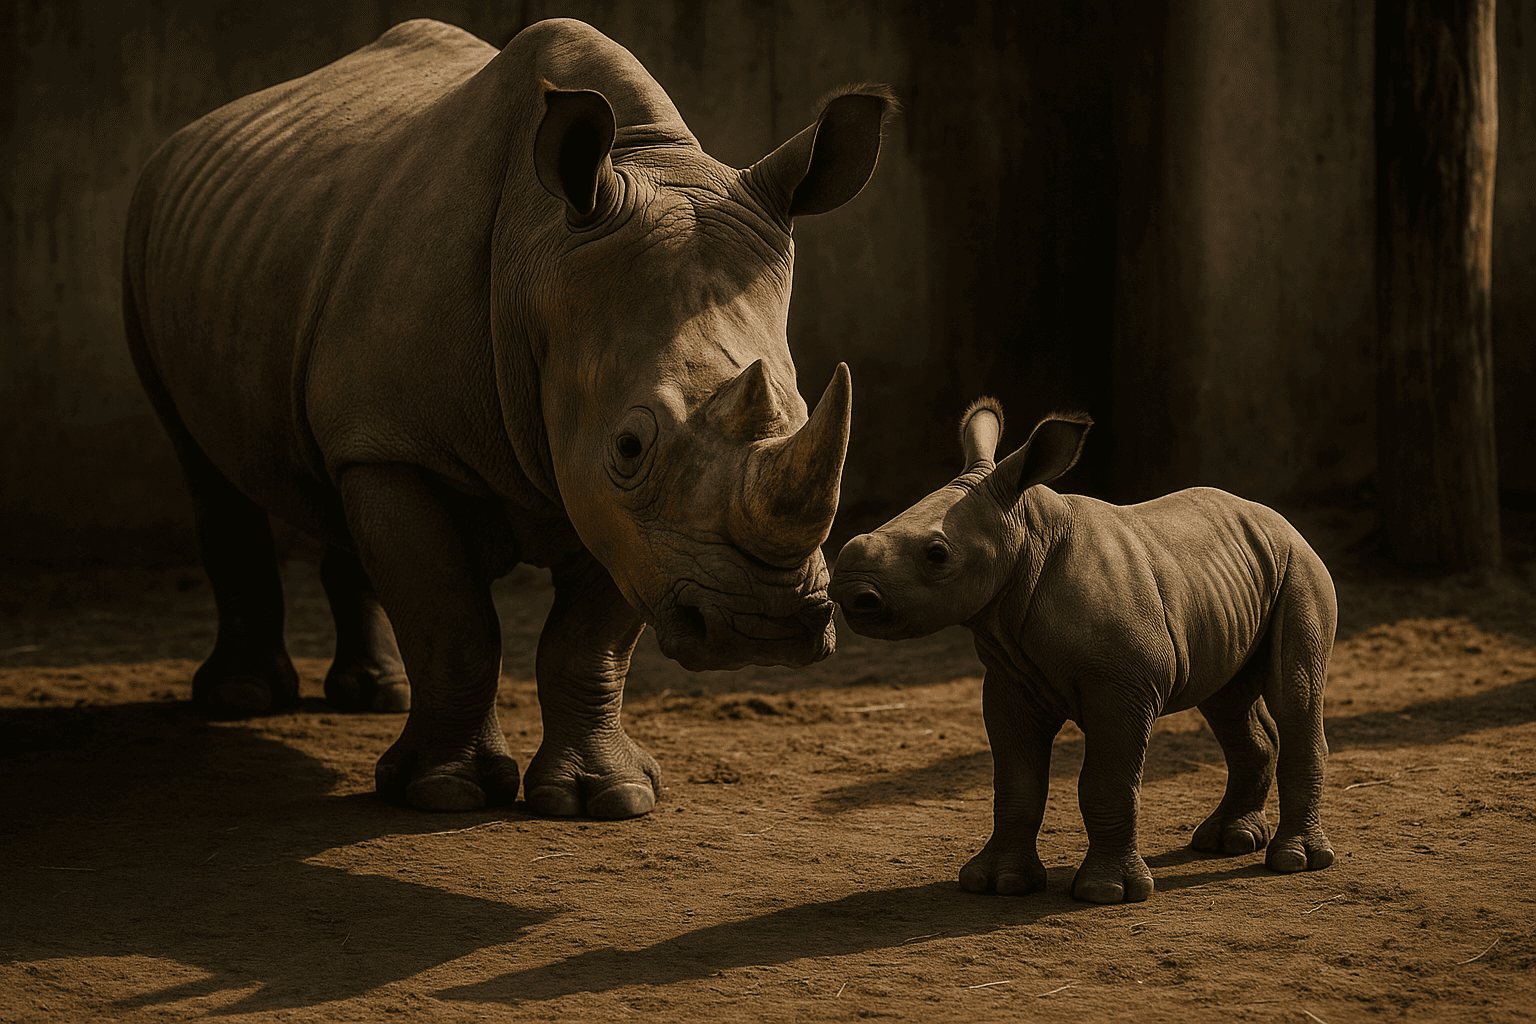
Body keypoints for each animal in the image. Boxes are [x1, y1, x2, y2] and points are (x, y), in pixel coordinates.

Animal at [122, 17, 895, 818]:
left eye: (802, 412)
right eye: (629, 446)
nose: (763, 628)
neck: (544, 254)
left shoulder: (625, 519)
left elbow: (588, 642)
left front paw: (605, 798)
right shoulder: (409, 449)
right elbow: (452, 622)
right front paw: (444, 793)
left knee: (334, 473)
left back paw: (374, 694)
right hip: (146, 235)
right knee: (206, 467)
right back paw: (240, 699)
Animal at [829, 400, 1336, 903]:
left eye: (937, 555)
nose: (850, 593)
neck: (1028, 537)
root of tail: (1276, 518)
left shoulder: (1126, 686)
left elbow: (1106, 783)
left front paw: (1107, 892)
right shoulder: (1010, 682)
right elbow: (1015, 784)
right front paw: (997, 884)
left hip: (1300, 567)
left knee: (1294, 694)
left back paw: (1295, 862)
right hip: (1230, 583)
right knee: (1227, 701)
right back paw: (1227, 841)